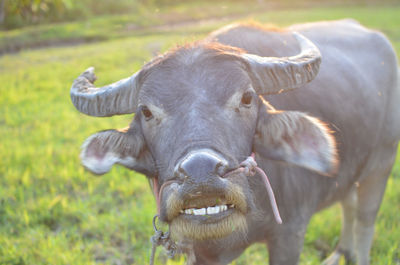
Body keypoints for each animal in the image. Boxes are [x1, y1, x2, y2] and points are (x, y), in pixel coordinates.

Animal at [70, 19, 398, 264]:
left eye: (247, 98)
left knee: (365, 219)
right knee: (348, 201)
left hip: (382, 163)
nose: (200, 176)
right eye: (147, 112)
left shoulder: (290, 234)